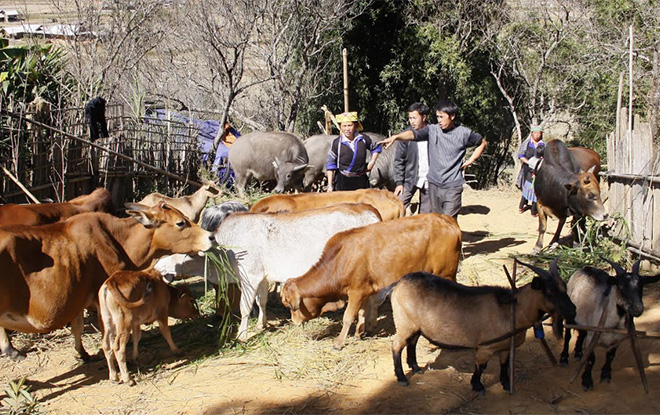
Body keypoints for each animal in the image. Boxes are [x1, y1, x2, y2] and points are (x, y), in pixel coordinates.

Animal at [0, 203, 214, 362]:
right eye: (180, 223)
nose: (211, 236)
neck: (118, 239)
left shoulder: (77, 299)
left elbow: (77, 327)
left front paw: (83, 354)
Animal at [278, 214, 458, 352]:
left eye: (289, 305)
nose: (294, 322)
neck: (340, 259)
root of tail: (448, 220)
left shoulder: (356, 292)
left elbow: (348, 317)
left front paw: (339, 343)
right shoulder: (365, 290)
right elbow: (362, 313)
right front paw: (360, 333)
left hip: (446, 272)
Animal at [390, 262, 576, 394]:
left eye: (565, 287)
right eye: (549, 291)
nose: (572, 310)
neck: (512, 310)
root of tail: (398, 284)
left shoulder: (505, 347)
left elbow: (504, 364)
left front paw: (506, 384)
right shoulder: (485, 347)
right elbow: (481, 366)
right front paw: (477, 386)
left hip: (415, 325)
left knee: (412, 342)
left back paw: (415, 367)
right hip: (404, 324)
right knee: (397, 345)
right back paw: (402, 377)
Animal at [556, 258, 660, 392]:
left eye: (641, 286)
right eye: (620, 286)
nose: (638, 308)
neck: (613, 325)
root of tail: (584, 268)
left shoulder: (616, 341)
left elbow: (610, 356)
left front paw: (605, 374)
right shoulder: (592, 337)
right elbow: (591, 359)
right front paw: (587, 381)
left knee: (582, 332)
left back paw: (578, 353)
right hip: (569, 314)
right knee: (568, 335)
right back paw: (564, 358)